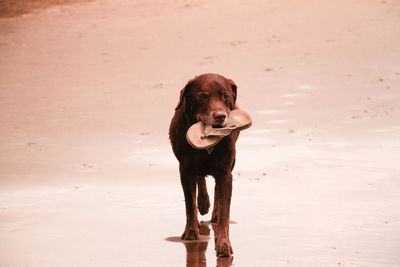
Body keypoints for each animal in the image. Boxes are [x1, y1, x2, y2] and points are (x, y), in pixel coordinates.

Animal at [168, 73, 239, 258]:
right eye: (203, 96)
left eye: (225, 95)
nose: (221, 116)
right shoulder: (185, 171)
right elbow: (189, 204)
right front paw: (190, 232)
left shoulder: (225, 172)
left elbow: (225, 211)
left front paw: (223, 244)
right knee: (200, 178)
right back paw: (203, 203)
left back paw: (214, 212)